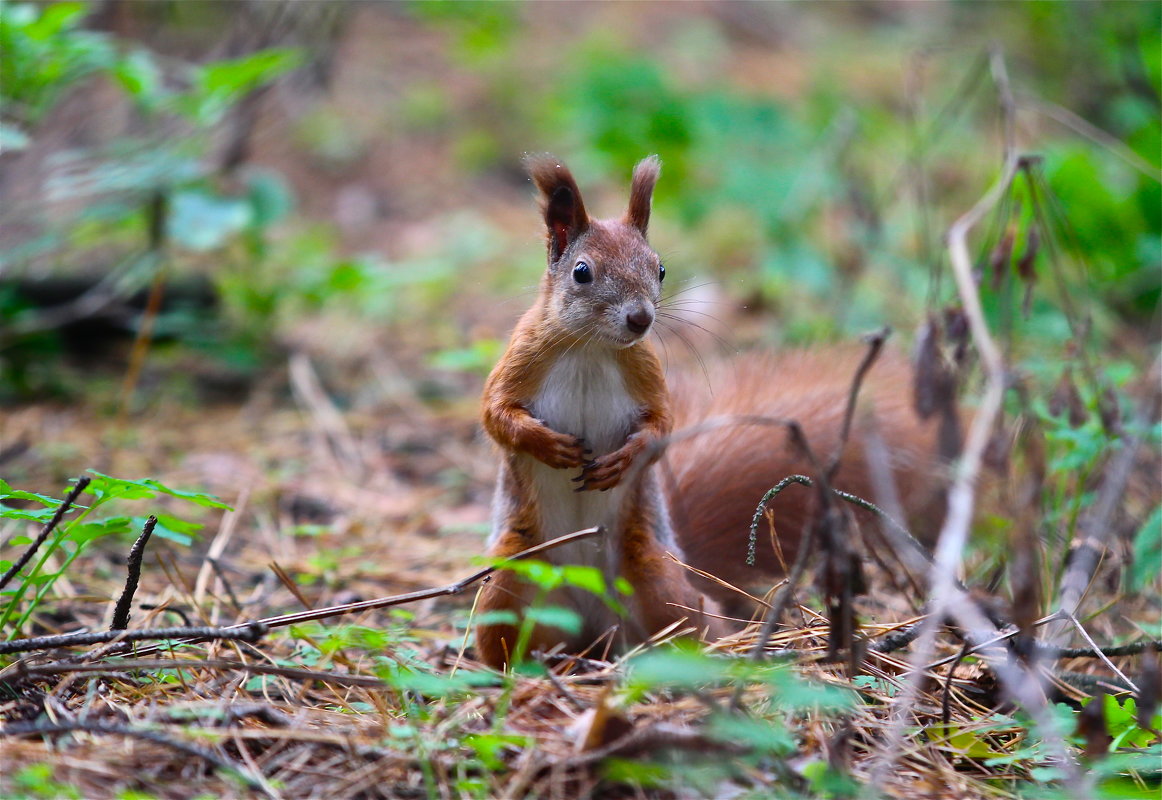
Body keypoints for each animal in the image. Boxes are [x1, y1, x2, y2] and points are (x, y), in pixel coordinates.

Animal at [476, 155, 948, 669]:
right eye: (582, 272)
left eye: (660, 268)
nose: (640, 318)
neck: (591, 349)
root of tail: (594, 628)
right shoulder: (522, 359)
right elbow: (495, 415)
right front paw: (549, 445)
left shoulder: (645, 372)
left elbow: (662, 427)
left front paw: (626, 459)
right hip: (509, 583)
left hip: (658, 582)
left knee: (696, 624)